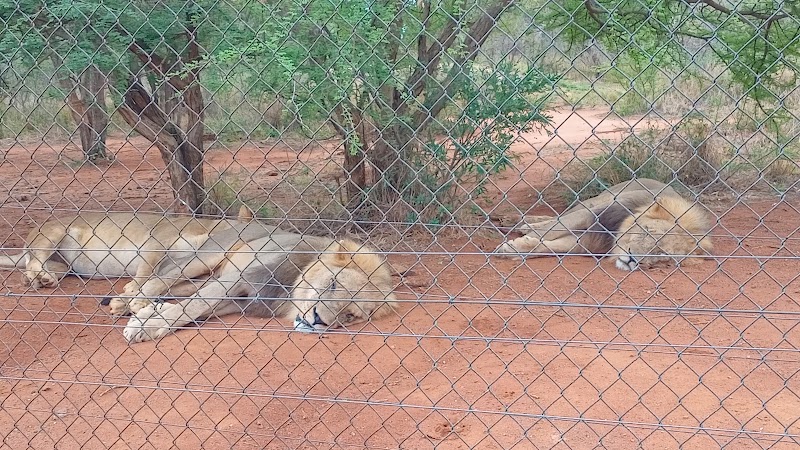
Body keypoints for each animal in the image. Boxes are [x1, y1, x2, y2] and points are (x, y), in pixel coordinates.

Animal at [0, 209, 253, 315]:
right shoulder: (158, 240)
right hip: (54, 232)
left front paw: (127, 301)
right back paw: (40, 278)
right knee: (34, 260)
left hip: (64, 265)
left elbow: (162, 283)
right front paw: (131, 290)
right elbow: (146, 271)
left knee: (34, 268)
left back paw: (41, 280)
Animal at [121, 221, 398, 343]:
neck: (288, 296)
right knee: (162, 276)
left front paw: (153, 317)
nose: (319, 320)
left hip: (206, 275)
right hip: (207, 256)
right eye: (333, 285)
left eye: (350, 316)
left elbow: (196, 309)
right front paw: (144, 326)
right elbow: (196, 305)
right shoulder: (239, 278)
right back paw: (133, 300)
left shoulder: (241, 301)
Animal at [494, 179, 714, 270]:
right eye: (647, 231)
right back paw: (517, 222)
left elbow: (550, 246)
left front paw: (515, 249)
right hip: (596, 200)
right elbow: (551, 229)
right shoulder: (593, 214)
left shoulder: (589, 242)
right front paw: (512, 245)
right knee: (558, 216)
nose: (632, 259)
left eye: (662, 254)